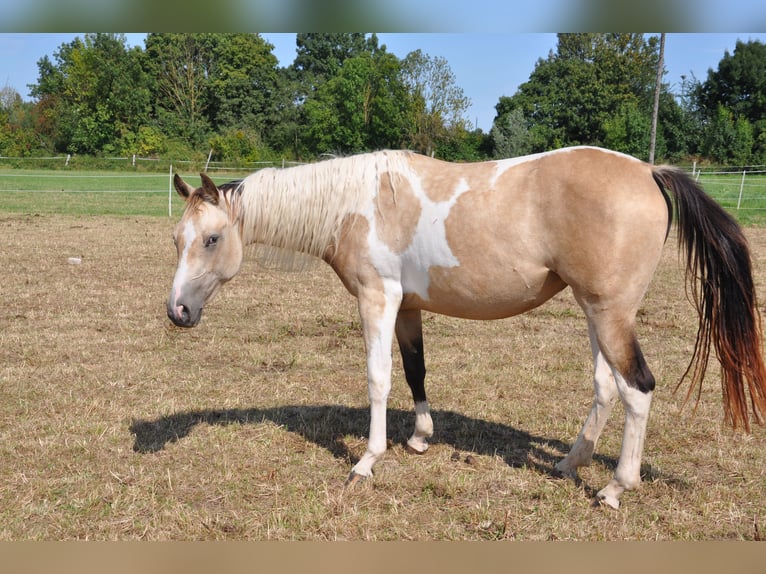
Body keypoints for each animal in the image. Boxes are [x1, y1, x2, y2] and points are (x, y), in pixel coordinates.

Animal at [166, 146, 766, 509]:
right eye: (177, 239)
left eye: (212, 239)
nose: (177, 312)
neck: (356, 204)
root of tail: (648, 171)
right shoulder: (406, 306)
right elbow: (415, 371)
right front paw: (420, 439)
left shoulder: (377, 299)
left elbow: (379, 379)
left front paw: (367, 461)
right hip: (594, 310)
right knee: (605, 388)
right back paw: (568, 464)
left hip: (611, 313)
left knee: (637, 389)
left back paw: (616, 489)